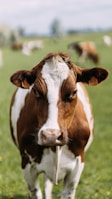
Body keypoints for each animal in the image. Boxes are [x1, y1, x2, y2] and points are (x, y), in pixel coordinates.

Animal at [9, 52, 108, 199]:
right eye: (36, 91)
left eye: (73, 92)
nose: (51, 135)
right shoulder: (26, 164)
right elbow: (36, 192)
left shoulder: (77, 164)